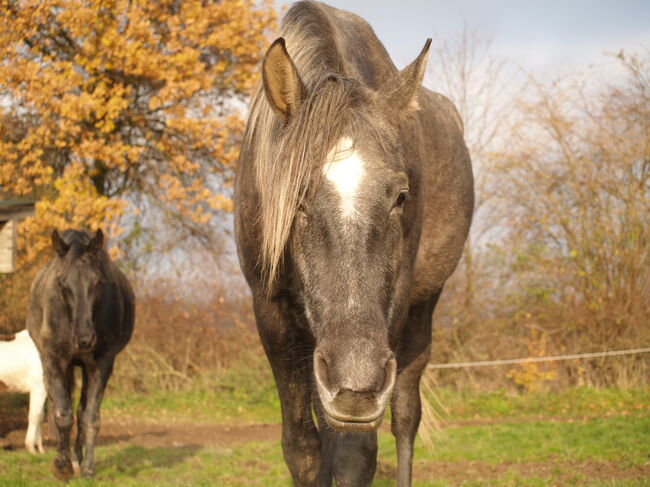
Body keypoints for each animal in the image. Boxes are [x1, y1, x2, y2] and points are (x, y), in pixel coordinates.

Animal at [26, 230, 134, 480]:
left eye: (98, 282)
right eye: (63, 282)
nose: (84, 339)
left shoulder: (102, 364)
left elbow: (89, 416)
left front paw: (87, 468)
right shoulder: (54, 360)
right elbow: (62, 415)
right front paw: (62, 467)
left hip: (83, 367)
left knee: (81, 410)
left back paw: (77, 458)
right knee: (59, 407)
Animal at [233, 1, 470, 486]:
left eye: (401, 196)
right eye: (295, 199)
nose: (356, 387)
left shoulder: (392, 313)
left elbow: (354, 454)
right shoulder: (271, 314)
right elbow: (303, 449)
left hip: (421, 312)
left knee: (405, 417)